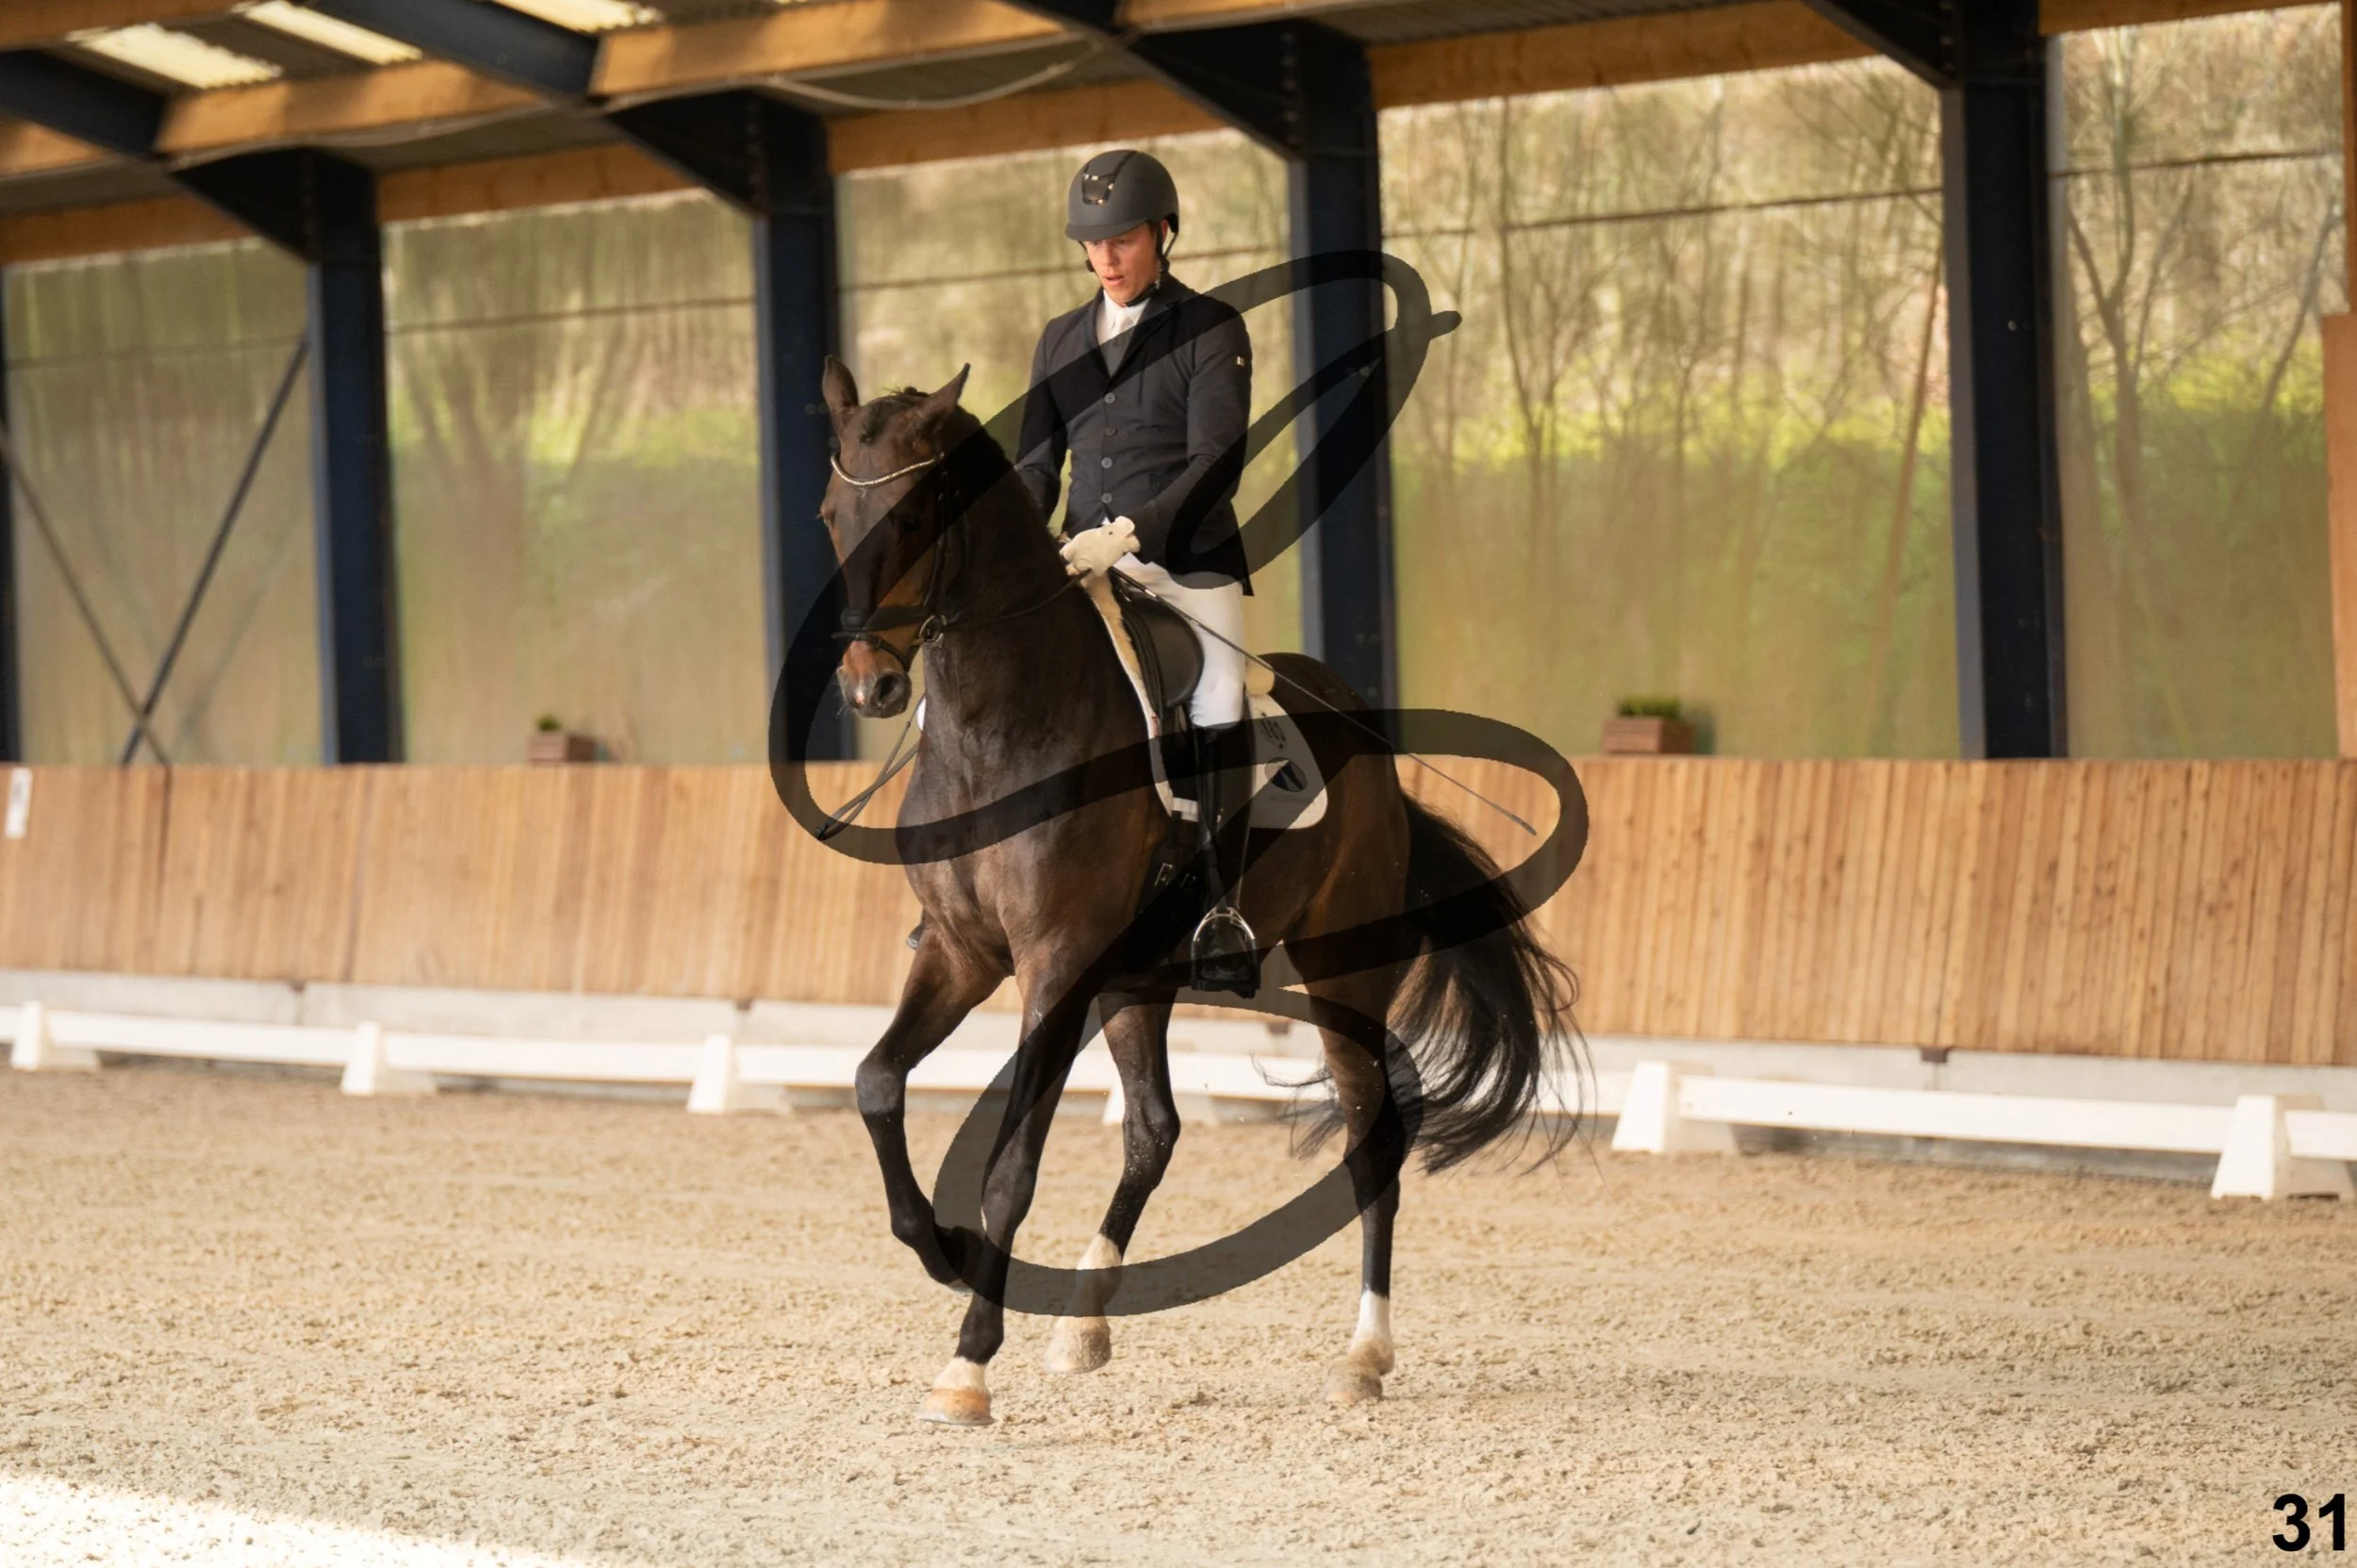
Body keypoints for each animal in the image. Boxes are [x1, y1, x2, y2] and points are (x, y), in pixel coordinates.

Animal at [812, 355, 1578, 1426]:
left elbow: (1011, 1166)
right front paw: (943, 1251)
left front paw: (968, 1360)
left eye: (920, 512)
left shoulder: (1053, 967)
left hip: (1343, 970)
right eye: (830, 514)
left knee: (1371, 1135)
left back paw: (1364, 1355)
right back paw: (1083, 1326)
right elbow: (877, 1083)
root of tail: (1369, 741)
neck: (997, 723)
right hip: (1141, 978)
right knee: (1154, 1131)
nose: (868, 685)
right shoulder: (965, 953)